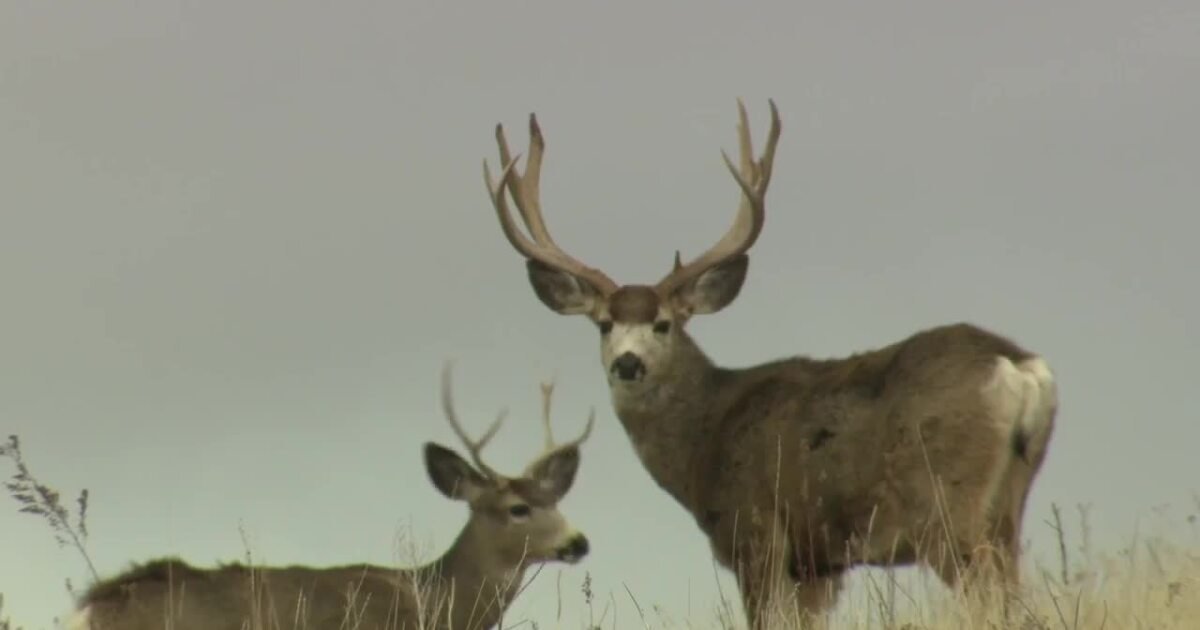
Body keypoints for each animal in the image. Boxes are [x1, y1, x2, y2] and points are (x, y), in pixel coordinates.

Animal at [480, 100, 1058, 627]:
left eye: (664, 324)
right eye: (604, 323)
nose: (627, 363)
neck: (704, 439)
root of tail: (1018, 366)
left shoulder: (755, 534)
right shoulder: (818, 564)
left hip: (949, 508)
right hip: (1009, 505)